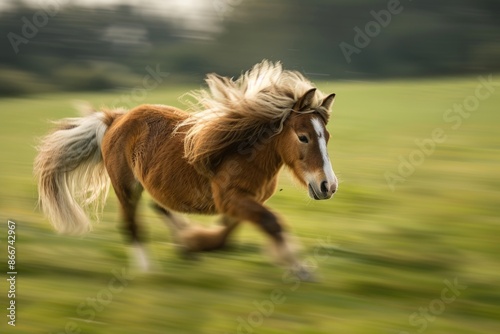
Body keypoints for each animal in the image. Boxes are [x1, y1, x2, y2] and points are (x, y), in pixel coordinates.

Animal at [34, 60, 336, 280]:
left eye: (327, 136)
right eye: (303, 137)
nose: (328, 186)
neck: (245, 154)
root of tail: (115, 119)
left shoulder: (243, 201)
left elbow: (232, 234)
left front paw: (196, 242)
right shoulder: (230, 198)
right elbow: (271, 223)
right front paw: (301, 270)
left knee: (159, 207)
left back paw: (182, 245)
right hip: (126, 187)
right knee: (131, 226)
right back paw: (148, 271)